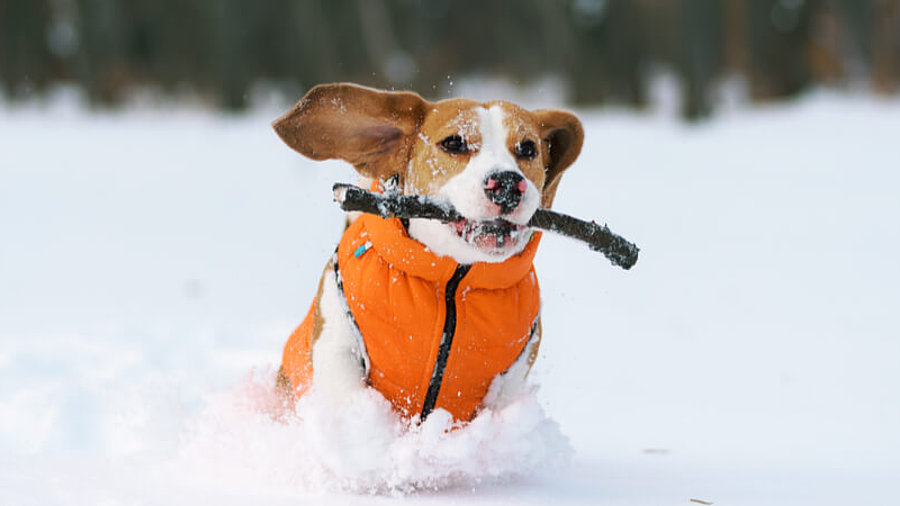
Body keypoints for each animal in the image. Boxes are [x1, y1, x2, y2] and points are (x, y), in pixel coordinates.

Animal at [274, 84, 584, 422]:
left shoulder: (512, 373)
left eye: (528, 148)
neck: (453, 279)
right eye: (454, 143)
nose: (507, 183)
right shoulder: (337, 339)